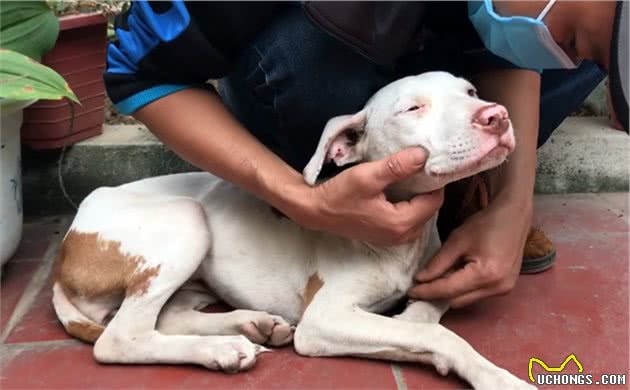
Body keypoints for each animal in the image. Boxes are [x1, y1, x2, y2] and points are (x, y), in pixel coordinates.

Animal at [51, 71, 540, 388]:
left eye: (471, 91)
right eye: (413, 108)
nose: (496, 116)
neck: (404, 241)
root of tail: (65, 251)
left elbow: (427, 309)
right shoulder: (324, 319)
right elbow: (435, 332)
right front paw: (496, 377)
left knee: (166, 316)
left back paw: (251, 324)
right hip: (186, 219)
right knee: (120, 338)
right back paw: (220, 350)